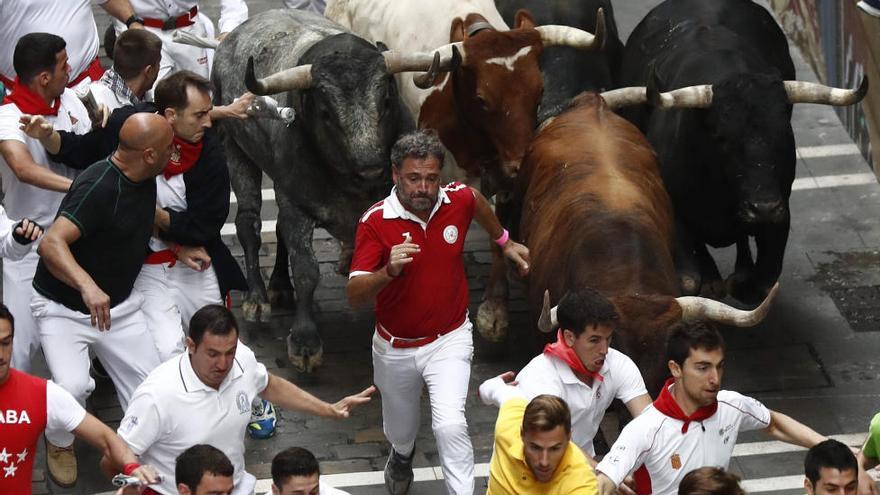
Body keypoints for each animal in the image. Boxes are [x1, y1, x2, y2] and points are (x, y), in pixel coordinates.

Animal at [213, 9, 440, 372]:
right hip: (235, 149)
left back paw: (279, 286)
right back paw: (258, 297)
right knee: (249, 223)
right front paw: (305, 342)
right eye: (325, 113)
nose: (371, 166)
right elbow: (307, 270)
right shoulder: (297, 205)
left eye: (386, 101)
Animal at [620, 0, 868, 306]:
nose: (763, 207)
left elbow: (761, 284)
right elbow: (689, 279)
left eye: (784, 134)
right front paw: (711, 280)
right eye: (721, 137)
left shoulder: (780, 211)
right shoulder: (674, 210)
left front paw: (741, 279)